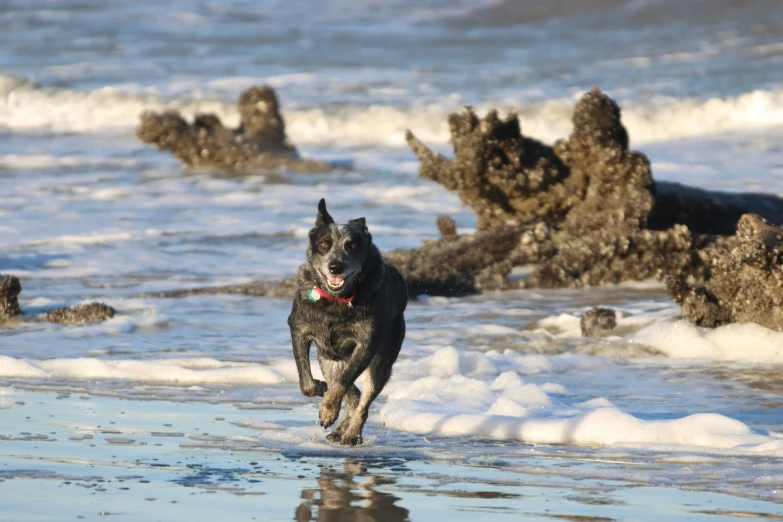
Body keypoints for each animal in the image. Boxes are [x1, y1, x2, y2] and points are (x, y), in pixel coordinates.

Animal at [290, 198, 410, 442]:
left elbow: (343, 383)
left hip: (382, 359)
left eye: (352, 246)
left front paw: (328, 410)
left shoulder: (367, 344)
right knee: (351, 391)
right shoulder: (298, 330)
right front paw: (320, 389)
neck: (335, 302)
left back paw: (352, 433)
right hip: (329, 357)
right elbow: (307, 383)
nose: (336, 266)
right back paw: (339, 427)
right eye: (323, 244)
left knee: (363, 396)